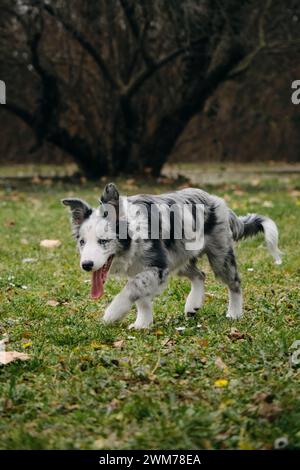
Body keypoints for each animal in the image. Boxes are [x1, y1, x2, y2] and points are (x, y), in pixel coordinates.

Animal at [62, 182, 282, 328]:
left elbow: (133, 288)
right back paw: (193, 305)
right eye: (82, 242)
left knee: (234, 282)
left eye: (103, 241)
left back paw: (234, 313)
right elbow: (141, 296)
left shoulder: (157, 266)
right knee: (199, 275)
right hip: (180, 257)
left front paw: (112, 313)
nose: (86, 265)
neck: (134, 234)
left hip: (220, 255)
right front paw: (142, 324)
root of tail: (218, 202)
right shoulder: (145, 269)